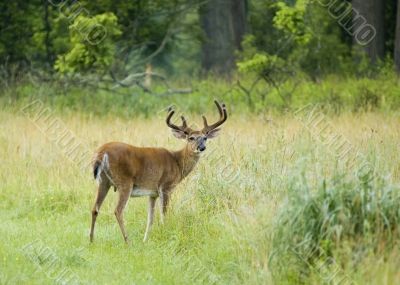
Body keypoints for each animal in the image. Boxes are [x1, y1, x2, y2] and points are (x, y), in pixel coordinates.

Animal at [90, 100, 228, 242]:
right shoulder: (165, 186)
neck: (177, 162)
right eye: (191, 138)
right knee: (118, 210)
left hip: (104, 181)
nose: (202, 147)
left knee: (95, 208)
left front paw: (145, 240)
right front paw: (165, 234)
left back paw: (91, 240)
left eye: (205, 137)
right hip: (125, 181)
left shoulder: (152, 193)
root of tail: (102, 152)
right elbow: (163, 215)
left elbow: (150, 219)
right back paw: (128, 241)